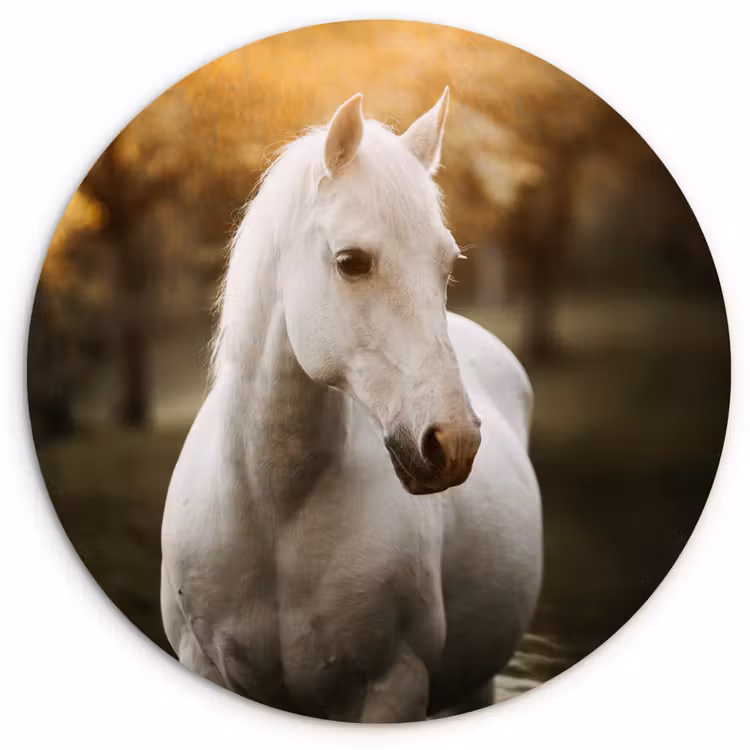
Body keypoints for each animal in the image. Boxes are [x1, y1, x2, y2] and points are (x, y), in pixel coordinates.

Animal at [160, 88, 542, 722]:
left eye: (447, 264)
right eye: (351, 262)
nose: (454, 442)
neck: (273, 508)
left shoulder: (393, 686)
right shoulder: (204, 663)